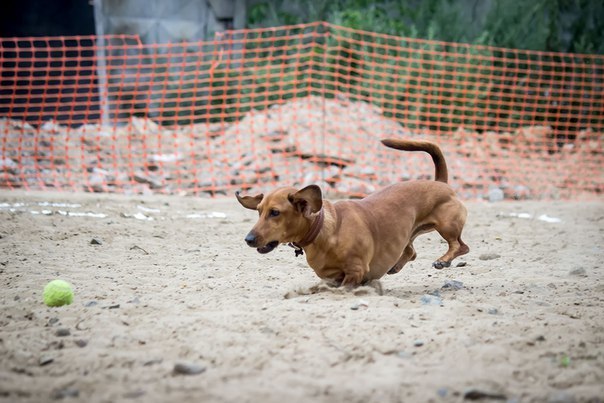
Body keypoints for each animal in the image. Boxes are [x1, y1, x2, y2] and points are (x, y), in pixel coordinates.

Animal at [235, 139, 468, 288]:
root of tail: (440, 182)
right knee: (411, 252)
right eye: (258, 212)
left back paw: (443, 260)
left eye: (275, 212)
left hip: (447, 225)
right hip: (409, 232)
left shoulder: (355, 271)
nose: (248, 239)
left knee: (460, 246)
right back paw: (396, 266)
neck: (324, 232)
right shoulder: (330, 277)